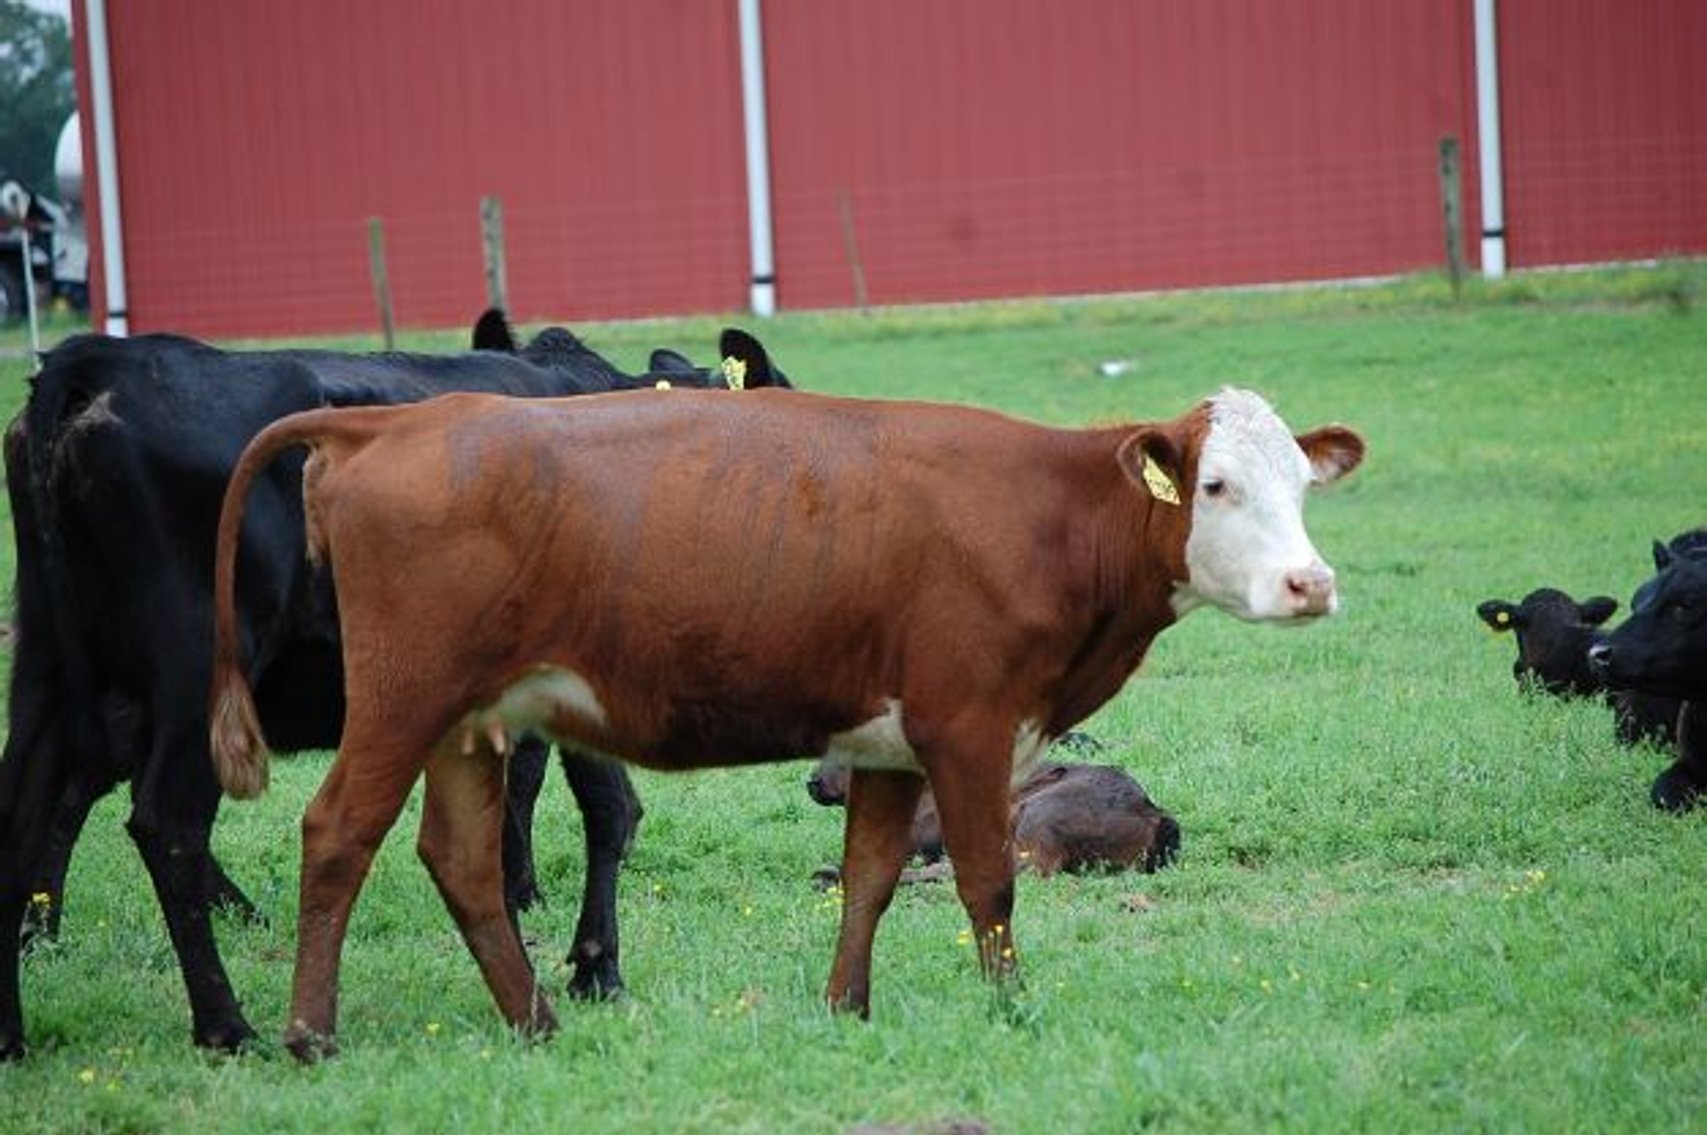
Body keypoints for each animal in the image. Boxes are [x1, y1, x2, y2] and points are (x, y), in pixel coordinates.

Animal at [0, 320, 789, 1061]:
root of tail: (99, 362)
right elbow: (608, 807)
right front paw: (596, 967)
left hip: (48, 671)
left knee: (33, 811)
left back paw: (17, 1027)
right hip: (197, 671)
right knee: (168, 825)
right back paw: (226, 1025)